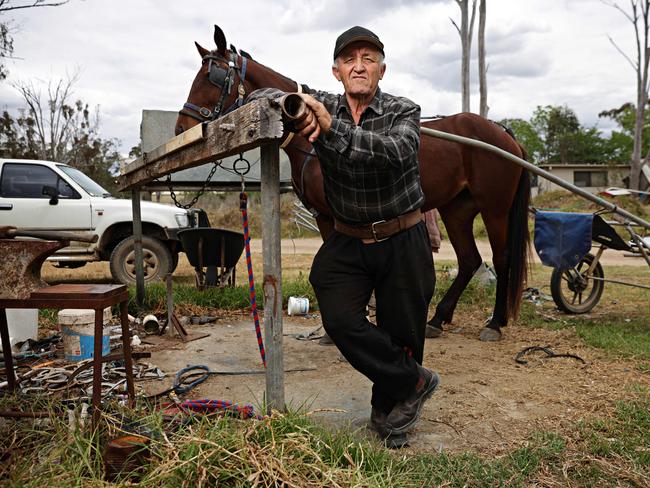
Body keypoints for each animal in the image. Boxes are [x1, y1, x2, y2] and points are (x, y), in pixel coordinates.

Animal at [176, 25, 528, 340]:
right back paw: (438, 319)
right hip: (456, 210)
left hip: (494, 209)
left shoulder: (334, 216)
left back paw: (494, 323)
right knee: (470, 260)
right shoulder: (324, 216)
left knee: (501, 259)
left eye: (212, 76)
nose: (182, 127)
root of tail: (503, 134)